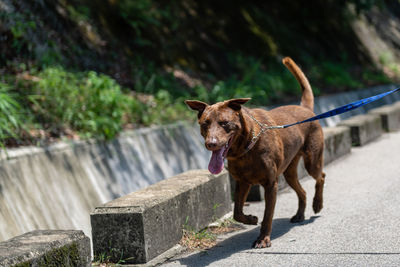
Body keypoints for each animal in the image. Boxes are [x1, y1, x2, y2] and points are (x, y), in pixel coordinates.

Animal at [186, 57, 326, 250]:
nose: (211, 144)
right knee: (302, 191)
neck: (245, 150)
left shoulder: (271, 184)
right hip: (289, 171)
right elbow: (237, 212)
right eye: (205, 123)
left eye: (224, 123)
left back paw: (317, 204)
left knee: (321, 176)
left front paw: (263, 239)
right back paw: (299, 214)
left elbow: (268, 215)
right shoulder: (243, 182)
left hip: (312, 160)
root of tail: (306, 109)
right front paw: (251, 219)